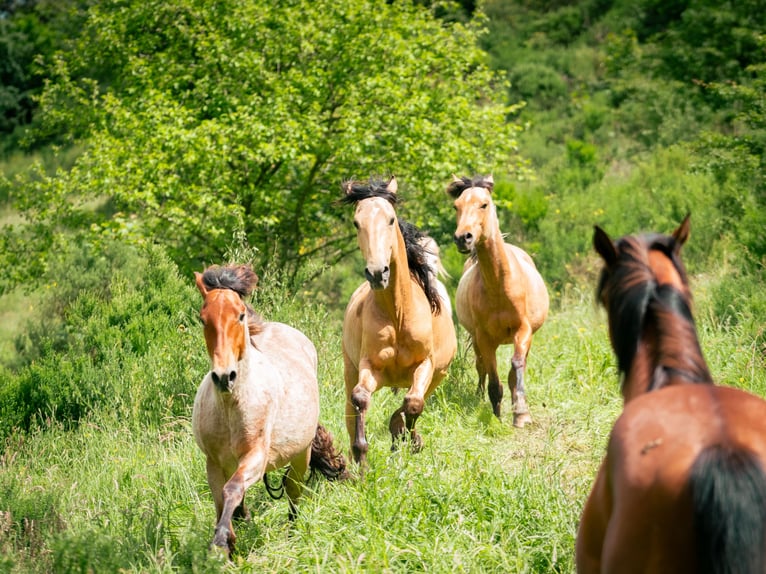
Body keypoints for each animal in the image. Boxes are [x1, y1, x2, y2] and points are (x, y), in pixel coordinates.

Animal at [192, 266, 348, 560]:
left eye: (240, 315)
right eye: (203, 319)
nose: (224, 377)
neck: (231, 407)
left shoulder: (256, 456)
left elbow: (232, 490)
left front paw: (222, 540)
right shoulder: (214, 463)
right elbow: (221, 500)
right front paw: (229, 539)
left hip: (300, 456)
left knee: (293, 492)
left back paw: (293, 533)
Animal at [340, 179, 456, 468]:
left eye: (391, 219)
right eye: (356, 223)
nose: (377, 273)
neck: (398, 314)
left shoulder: (425, 365)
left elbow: (413, 403)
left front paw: (410, 440)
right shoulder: (369, 367)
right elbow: (360, 398)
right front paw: (362, 455)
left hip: (438, 375)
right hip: (350, 369)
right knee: (350, 408)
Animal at [450, 176, 552, 428]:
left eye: (484, 204)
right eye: (456, 206)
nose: (463, 238)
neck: (499, 286)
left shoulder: (523, 330)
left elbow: (516, 367)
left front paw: (522, 413)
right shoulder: (484, 338)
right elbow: (494, 380)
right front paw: (496, 417)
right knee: (481, 368)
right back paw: (478, 396)